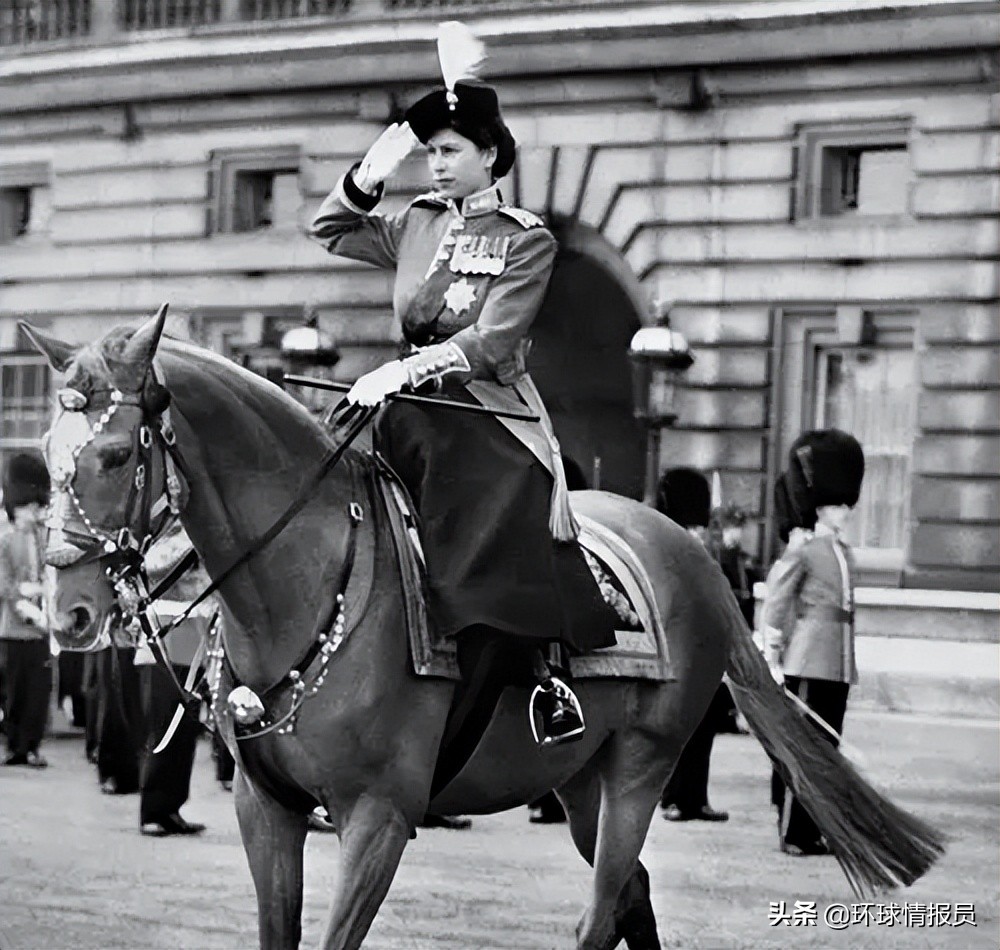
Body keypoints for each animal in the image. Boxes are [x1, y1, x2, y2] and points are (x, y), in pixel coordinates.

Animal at [25, 306, 944, 950]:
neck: (299, 587)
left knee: (603, 912)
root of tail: (686, 548)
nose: (71, 610)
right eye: (45, 447)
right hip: (577, 779)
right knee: (632, 898)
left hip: (640, 767)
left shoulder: (378, 819)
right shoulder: (268, 810)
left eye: (116, 455)